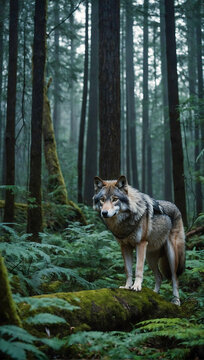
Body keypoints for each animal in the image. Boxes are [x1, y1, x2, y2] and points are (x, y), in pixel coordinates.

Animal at [93, 176, 186, 306]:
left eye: (115, 199)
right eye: (102, 200)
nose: (104, 213)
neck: (124, 223)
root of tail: (176, 206)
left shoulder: (140, 244)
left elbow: (138, 268)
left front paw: (136, 286)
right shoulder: (124, 247)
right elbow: (128, 270)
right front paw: (127, 286)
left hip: (171, 255)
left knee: (175, 278)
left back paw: (176, 300)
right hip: (150, 258)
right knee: (159, 277)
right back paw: (155, 295)